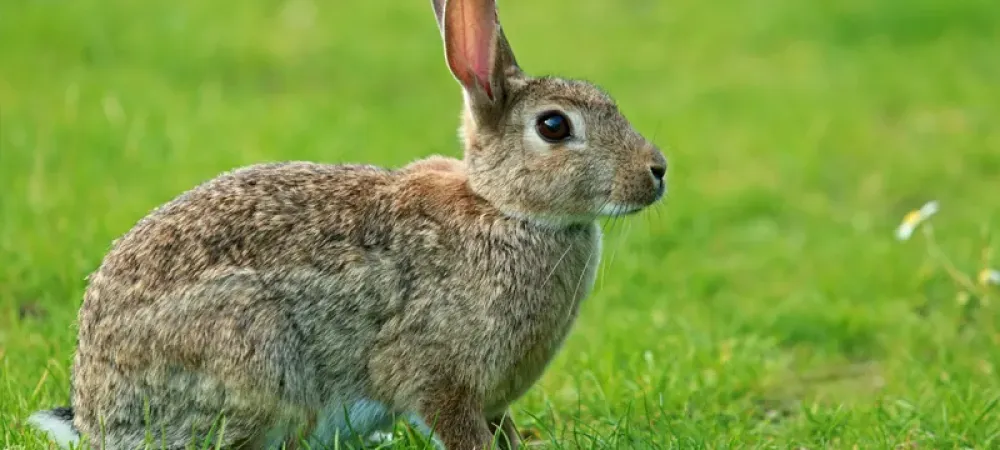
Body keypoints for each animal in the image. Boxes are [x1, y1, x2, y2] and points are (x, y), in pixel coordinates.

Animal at [27, 0, 668, 450]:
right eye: (554, 126)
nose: (657, 171)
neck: (503, 208)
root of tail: (99, 411)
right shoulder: (437, 376)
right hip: (253, 356)